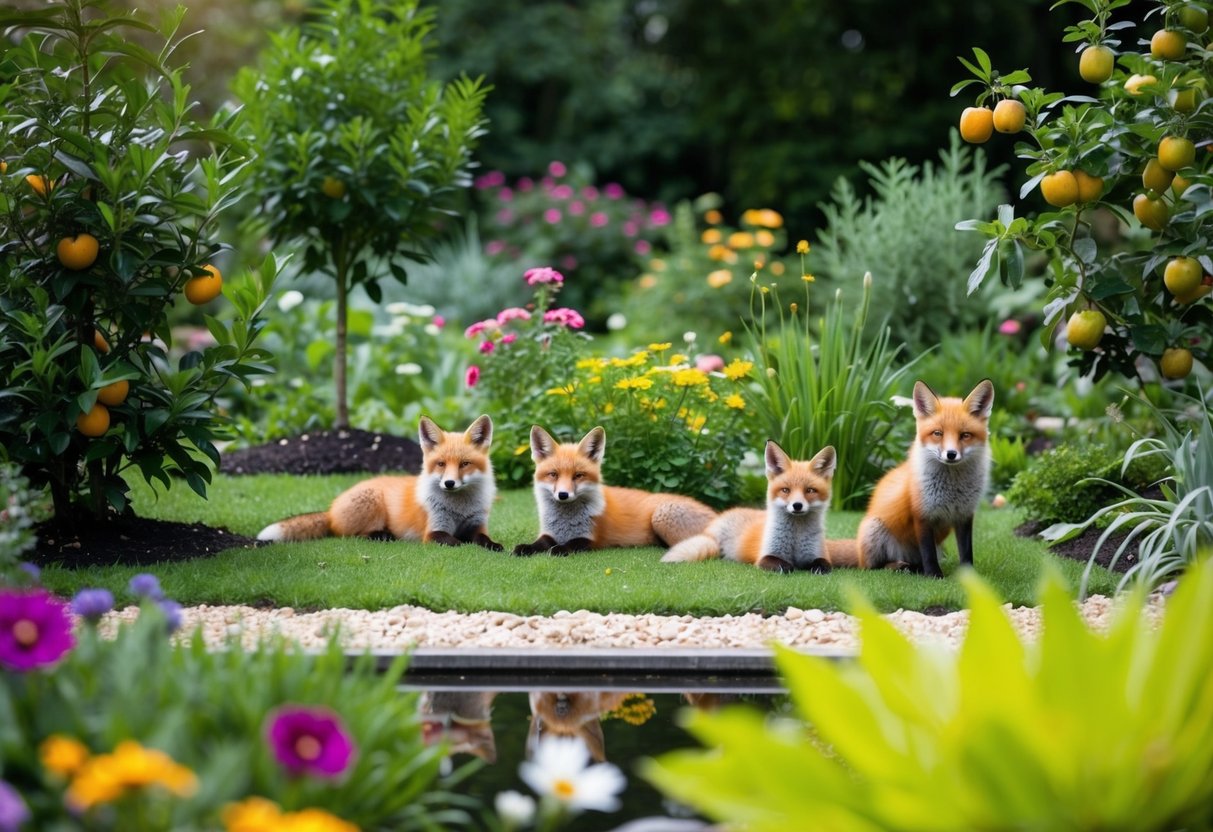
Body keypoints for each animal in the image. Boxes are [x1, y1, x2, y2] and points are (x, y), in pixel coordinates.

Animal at [256, 415, 503, 551]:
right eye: (441, 464)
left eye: (464, 464)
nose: (449, 483)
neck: (460, 509)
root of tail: (330, 510)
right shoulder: (433, 531)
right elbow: (454, 541)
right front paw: (463, 544)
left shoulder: (477, 524)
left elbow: (483, 539)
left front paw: (494, 546)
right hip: (371, 503)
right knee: (349, 535)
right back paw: (382, 536)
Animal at [512, 425, 717, 556]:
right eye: (553, 474)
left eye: (578, 475)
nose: (563, 495)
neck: (566, 521)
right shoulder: (548, 532)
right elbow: (540, 543)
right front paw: (525, 548)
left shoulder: (591, 539)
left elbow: (567, 545)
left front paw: (558, 550)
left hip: (662, 515)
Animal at [662, 441, 843, 573]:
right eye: (786, 490)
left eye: (810, 490)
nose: (797, 505)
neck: (795, 539)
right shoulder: (764, 557)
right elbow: (784, 565)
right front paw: (792, 567)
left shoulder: (819, 554)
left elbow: (824, 565)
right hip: (714, 546)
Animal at [831, 379, 994, 578]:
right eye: (938, 433)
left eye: (965, 435)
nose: (951, 454)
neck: (953, 489)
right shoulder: (922, 514)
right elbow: (928, 553)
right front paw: (934, 575)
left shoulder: (964, 514)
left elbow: (966, 551)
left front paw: (969, 577)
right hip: (874, 530)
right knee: (874, 567)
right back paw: (899, 567)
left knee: (916, 563)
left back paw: (915, 569)